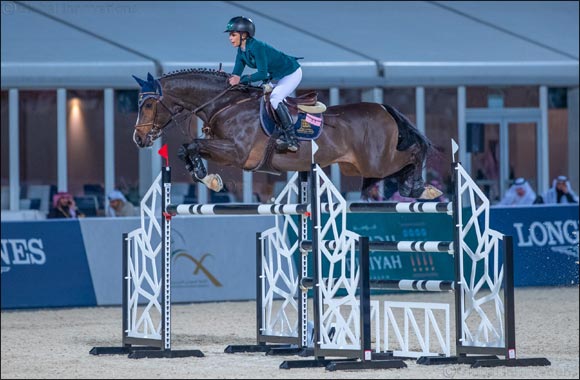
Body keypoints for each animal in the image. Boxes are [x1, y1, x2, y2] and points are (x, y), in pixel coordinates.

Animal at [133, 68, 440, 200]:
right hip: (355, 167)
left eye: (147, 105)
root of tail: (383, 107)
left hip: (376, 162)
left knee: (414, 152)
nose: (138, 139)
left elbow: (193, 144)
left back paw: (421, 188)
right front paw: (207, 177)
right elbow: (187, 148)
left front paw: (209, 178)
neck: (225, 104)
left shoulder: (238, 153)